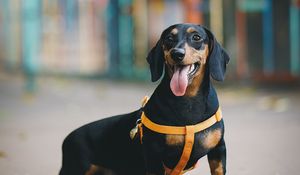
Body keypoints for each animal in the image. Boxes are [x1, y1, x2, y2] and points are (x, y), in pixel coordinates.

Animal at [59, 23, 230, 175]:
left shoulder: (218, 150)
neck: (188, 101)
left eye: (196, 37)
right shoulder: (155, 156)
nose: (177, 53)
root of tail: (67, 140)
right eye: (169, 38)